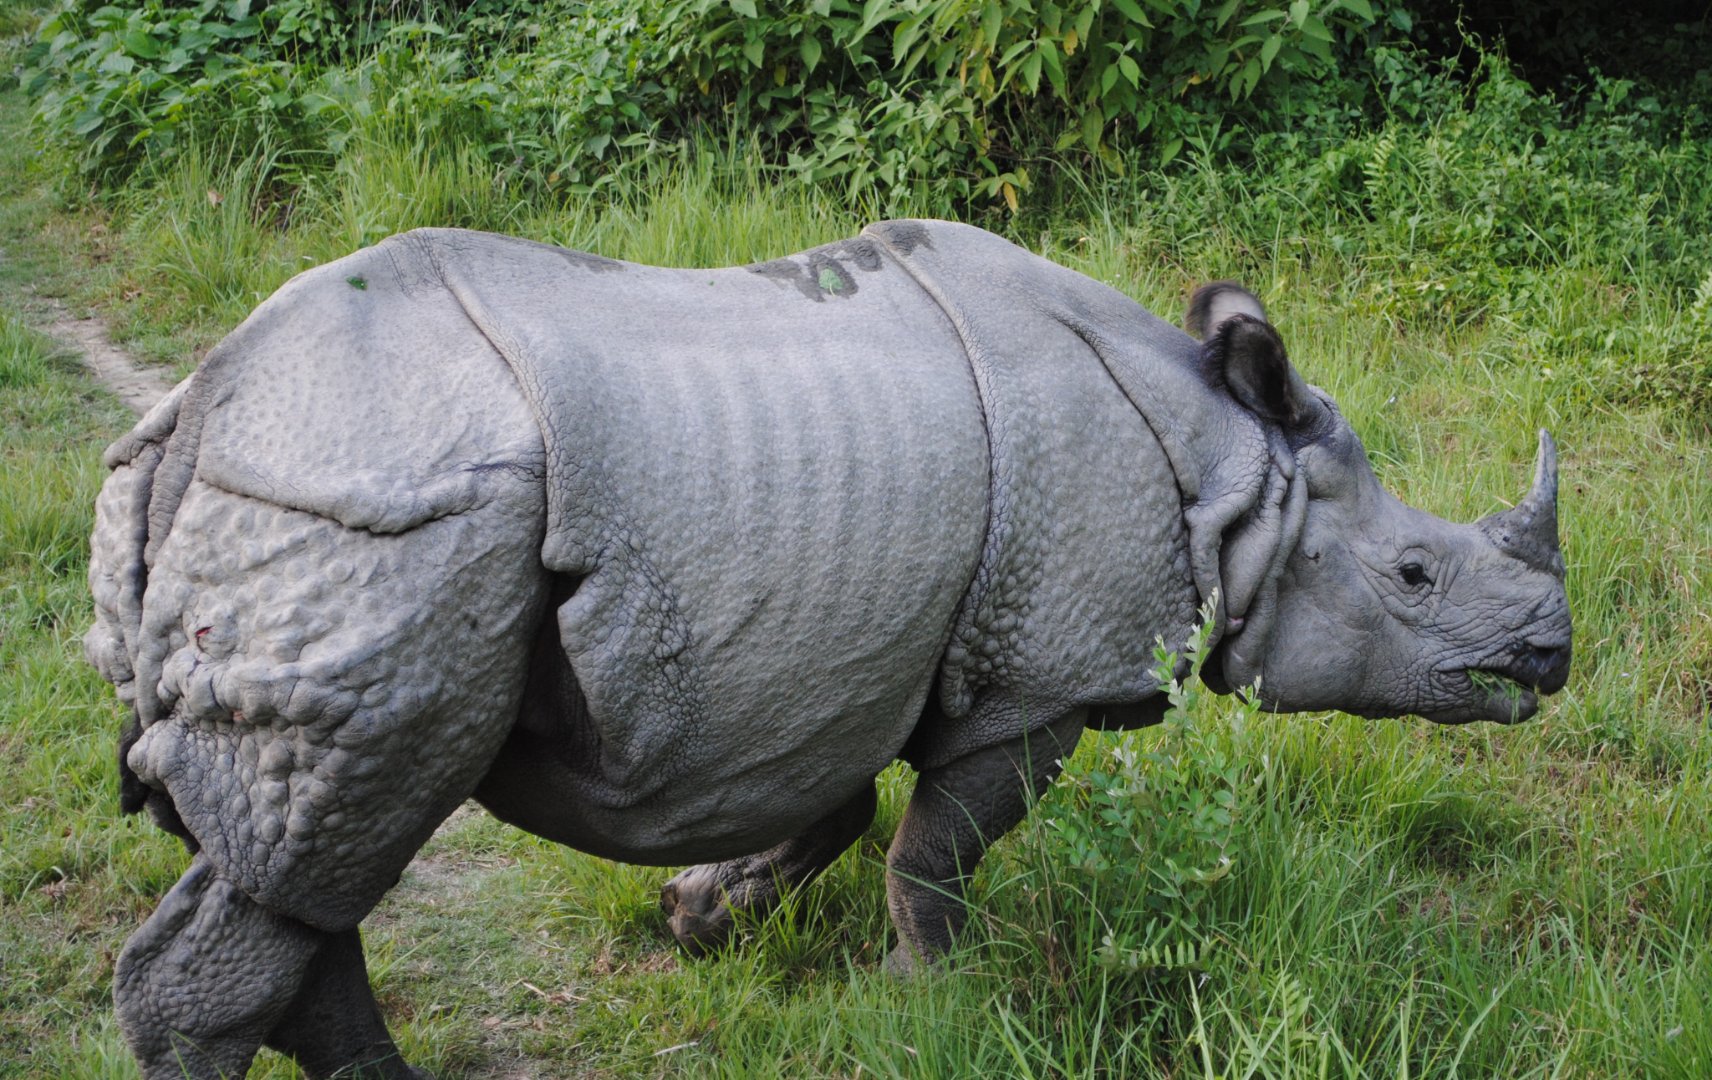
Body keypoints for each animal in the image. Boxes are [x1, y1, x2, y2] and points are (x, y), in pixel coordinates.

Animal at [85, 220, 1570, 1078]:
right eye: (1415, 575)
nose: (1550, 654)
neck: (1234, 476)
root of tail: (198, 411)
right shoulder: (1040, 678)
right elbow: (935, 854)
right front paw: (928, 1009)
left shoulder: (854, 652)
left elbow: (839, 808)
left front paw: (703, 917)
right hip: (377, 514)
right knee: (329, 843)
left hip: (332, 509)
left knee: (305, 865)